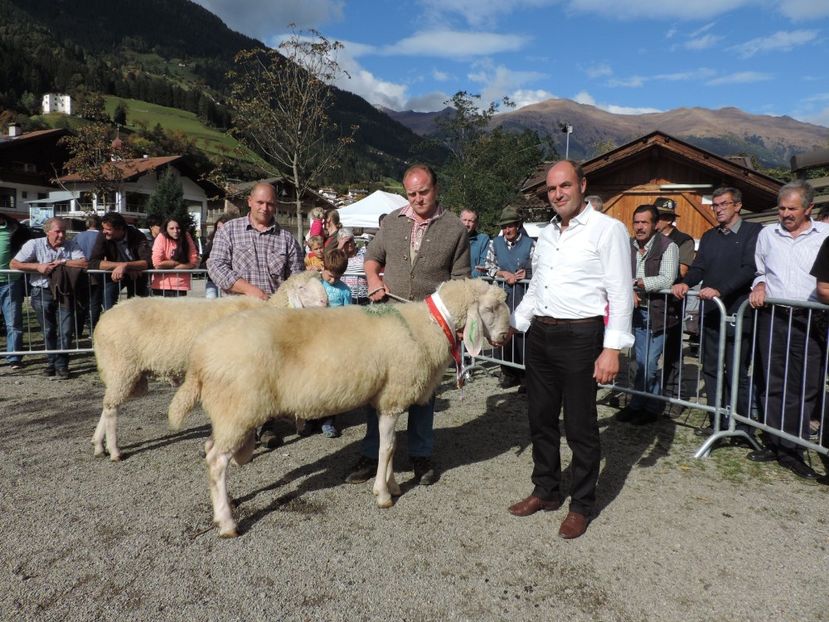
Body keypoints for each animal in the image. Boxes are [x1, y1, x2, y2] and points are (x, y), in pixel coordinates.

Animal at [90, 270, 324, 460]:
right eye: (301, 288)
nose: (324, 302)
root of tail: (103, 320)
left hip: (124, 371)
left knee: (107, 404)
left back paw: (99, 446)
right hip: (122, 367)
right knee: (111, 408)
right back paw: (114, 451)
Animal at [167, 280, 512, 540]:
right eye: (490, 309)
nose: (508, 336)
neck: (426, 327)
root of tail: (199, 354)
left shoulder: (385, 398)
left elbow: (390, 446)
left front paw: (392, 485)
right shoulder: (393, 397)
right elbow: (387, 447)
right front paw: (383, 494)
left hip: (228, 412)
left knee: (211, 449)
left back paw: (226, 505)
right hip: (238, 408)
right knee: (216, 461)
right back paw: (227, 523)